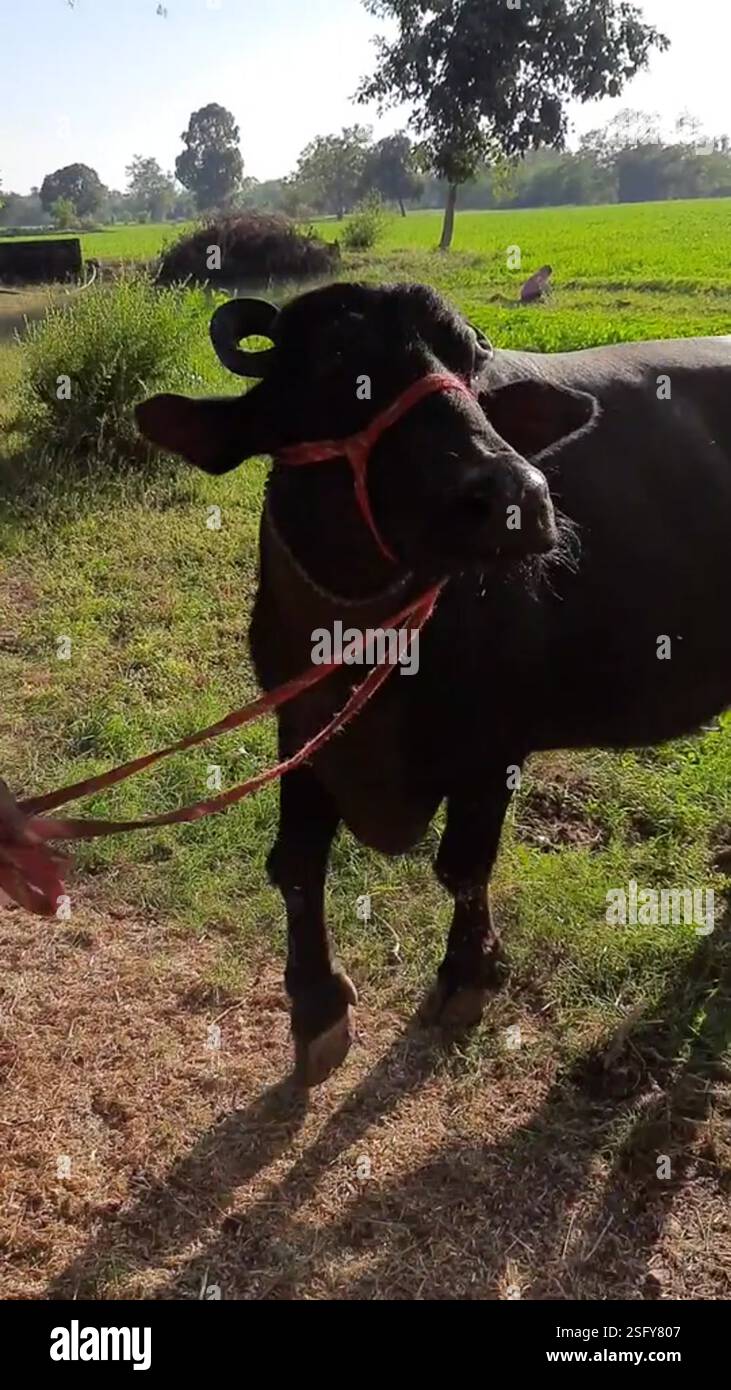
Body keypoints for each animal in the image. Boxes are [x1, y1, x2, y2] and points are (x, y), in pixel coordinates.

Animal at [136, 282, 731, 1084]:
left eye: (471, 364)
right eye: (336, 362)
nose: (518, 498)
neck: (367, 645)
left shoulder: (494, 748)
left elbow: (463, 867)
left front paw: (466, 976)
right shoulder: (300, 725)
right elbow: (296, 862)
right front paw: (316, 1005)